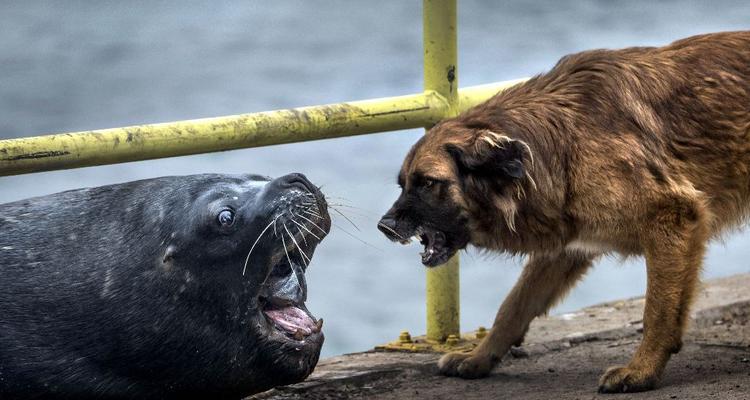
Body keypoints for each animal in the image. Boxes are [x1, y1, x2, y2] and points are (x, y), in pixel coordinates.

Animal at [378, 32, 750, 394]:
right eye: (402, 184)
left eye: (427, 183)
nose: (384, 227)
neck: (565, 142)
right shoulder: (565, 245)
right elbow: (513, 307)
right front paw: (480, 358)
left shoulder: (673, 219)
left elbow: (657, 311)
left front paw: (641, 371)